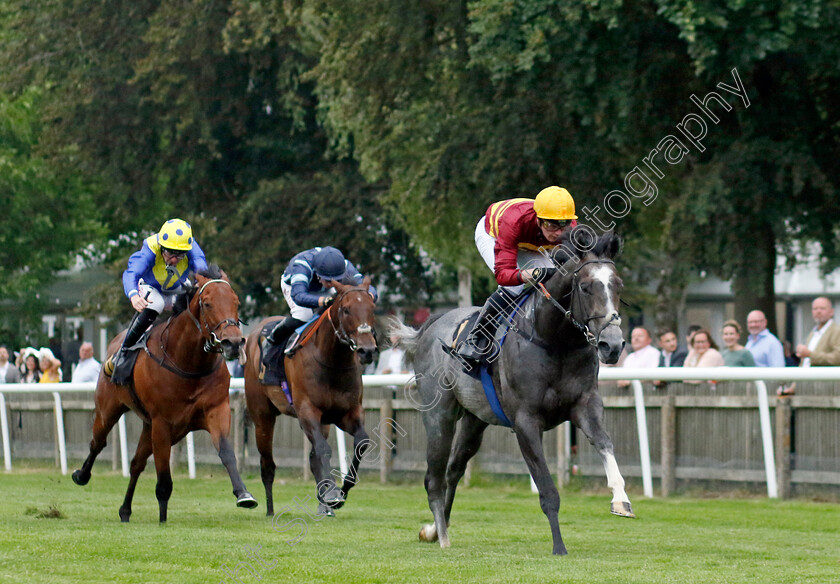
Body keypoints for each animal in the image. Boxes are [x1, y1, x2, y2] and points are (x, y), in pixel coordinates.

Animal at [72, 266, 256, 524]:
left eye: (236, 302)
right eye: (207, 303)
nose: (234, 342)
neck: (188, 363)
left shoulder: (215, 410)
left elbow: (227, 452)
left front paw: (243, 494)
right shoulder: (162, 423)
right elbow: (163, 475)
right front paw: (162, 518)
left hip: (153, 427)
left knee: (136, 464)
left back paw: (125, 510)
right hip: (108, 411)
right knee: (98, 442)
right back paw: (81, 475)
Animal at [241, 278, 376, 516]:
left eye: (372, 308)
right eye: (346, 309)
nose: (367, 350)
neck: (331, 360)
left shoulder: (347, 413)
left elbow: (361, 442)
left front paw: (341, 492)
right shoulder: (307, 411)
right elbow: (323, 450)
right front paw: (332, 494)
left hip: (322, 422)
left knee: (312, 460)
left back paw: (324, 507)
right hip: (262, 415)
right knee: (267, 464)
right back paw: (269, 510)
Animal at [390, 229, 632, 556]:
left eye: (618, 285)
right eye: (585, 287)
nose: (612, 344)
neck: (554, 339)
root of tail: (429, 325)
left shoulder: (585, 404)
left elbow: (604, 442)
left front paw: (621, 499)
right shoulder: (526, 421)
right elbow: (547, 490)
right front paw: (559, 547)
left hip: (475, 420)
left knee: (454, 469)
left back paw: (433, 530)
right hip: (439, 416)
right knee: (434, 478)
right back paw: (441, 536)